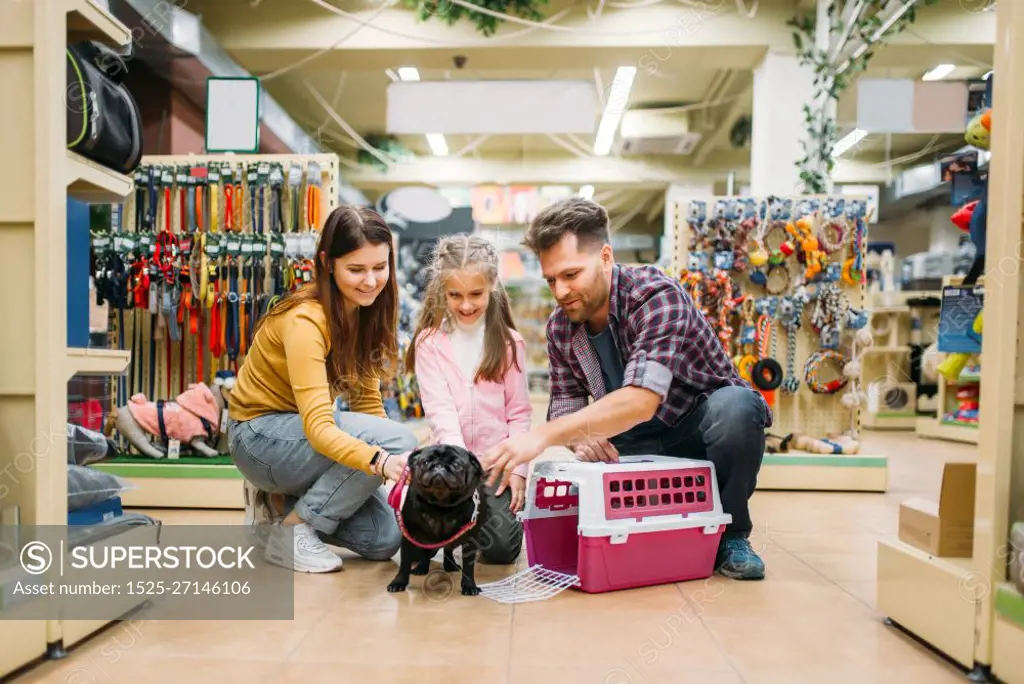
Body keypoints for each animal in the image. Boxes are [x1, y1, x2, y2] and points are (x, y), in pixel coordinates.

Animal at [387, 444, 491, 593]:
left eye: (457, 465)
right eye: (425, 462)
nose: (439, 466)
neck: (441, 506)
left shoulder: (470, 540)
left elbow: (468, 566)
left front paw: (469, 585)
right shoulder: (409, 536)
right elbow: (404, 562)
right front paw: (399, 582)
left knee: (448, 549)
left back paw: (449, 566)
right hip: (424, 540)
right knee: (425, 553)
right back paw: (421, 568)